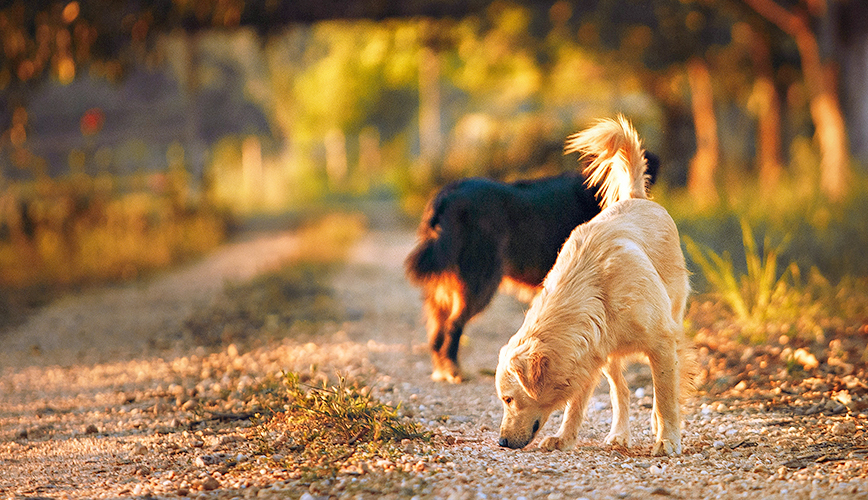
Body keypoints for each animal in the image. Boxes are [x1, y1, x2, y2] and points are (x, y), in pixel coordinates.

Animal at [406, 150, 656, 380]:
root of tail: (448, 193)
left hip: (446, 287)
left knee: (437, 332)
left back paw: (443, 369)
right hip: (480, 279)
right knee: (453, 326)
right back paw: (454, 370)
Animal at [496, 115, 700, 456]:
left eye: (508, 399)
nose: (501, 442)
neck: (594, 287)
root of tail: (635, 197)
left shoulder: (661, 342)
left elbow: (665, 398)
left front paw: (668, 439)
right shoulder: (589, 354)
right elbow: (576, 404)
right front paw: (565, 437)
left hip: (671, 317)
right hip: (608, 356)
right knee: (622, 392)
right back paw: (618, 434)